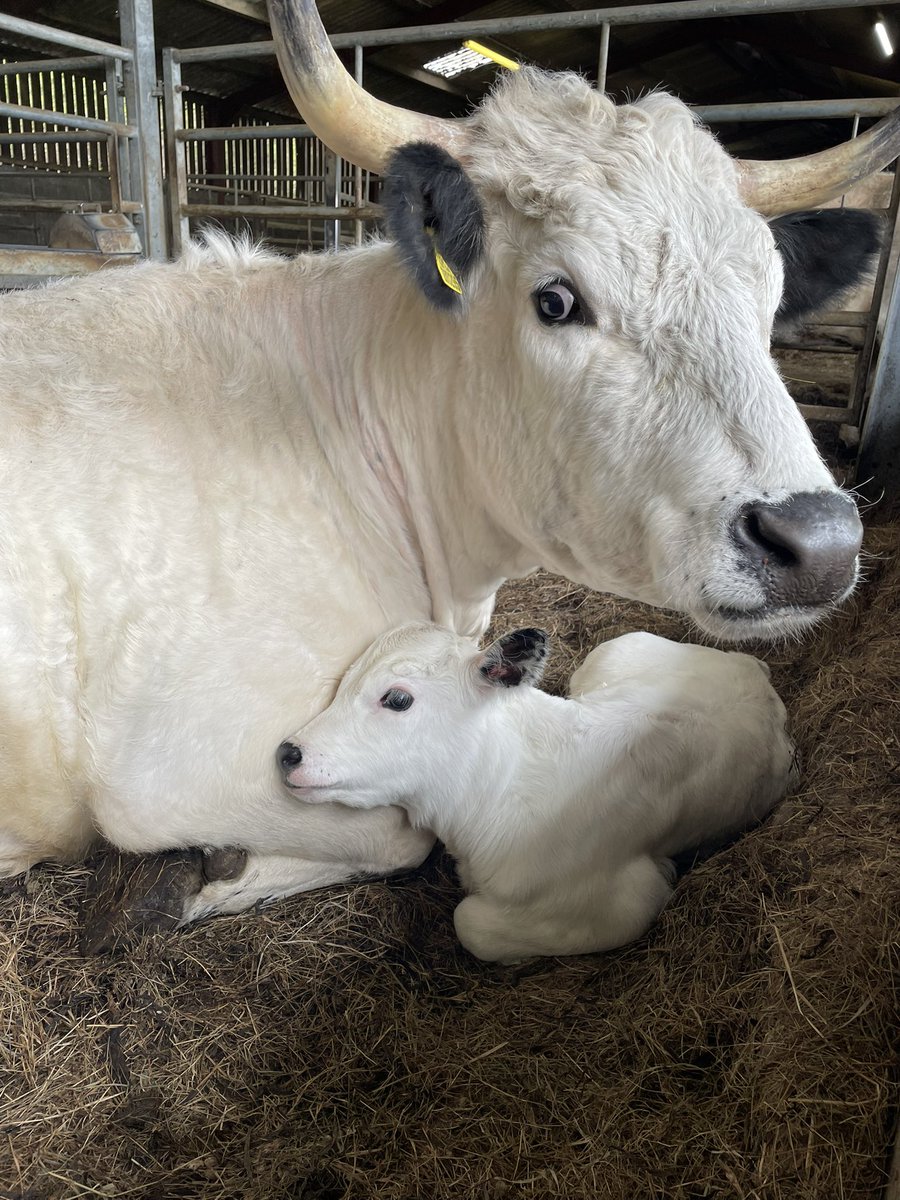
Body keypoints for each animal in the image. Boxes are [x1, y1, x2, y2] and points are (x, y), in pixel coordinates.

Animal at [0, 0, 896, 924]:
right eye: (556, 300)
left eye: (769, 302)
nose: (818, 540)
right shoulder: (169, 769)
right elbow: (400, 834)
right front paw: (195, 879)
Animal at [278, 623, 797, 962]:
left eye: (398, 698)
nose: (287, 752)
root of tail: (755, 671)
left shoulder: (626, 903)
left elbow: (470, 923)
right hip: (614, 651)